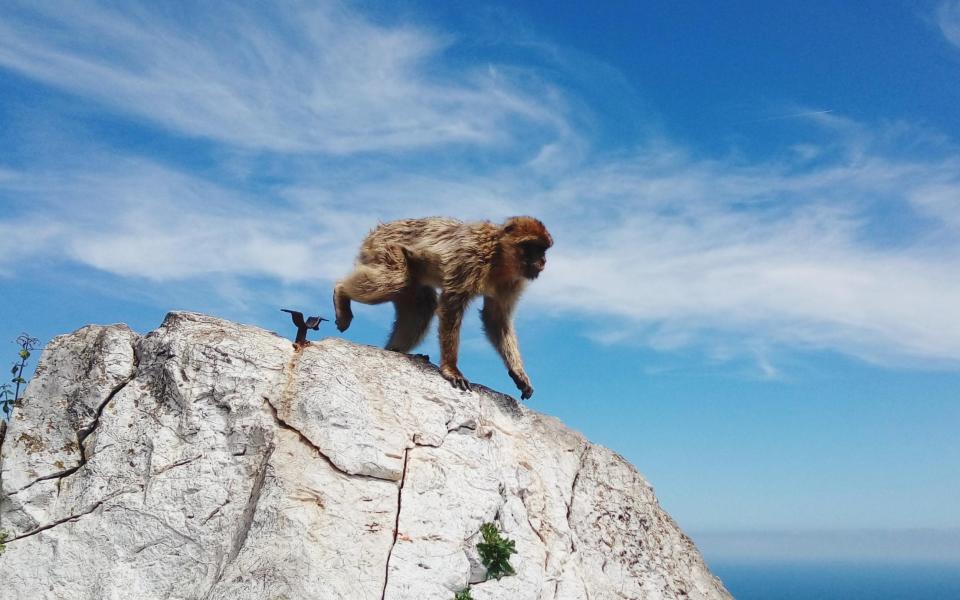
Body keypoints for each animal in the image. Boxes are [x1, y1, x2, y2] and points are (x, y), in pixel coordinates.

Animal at [334, 216, 552, 398]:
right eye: (531, 247)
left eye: (542, 249)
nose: (542, 261)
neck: (499, 257)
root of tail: (377, 230)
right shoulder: (471, 258)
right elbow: (451, 306)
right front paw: (451, 369)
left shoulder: (513, 281)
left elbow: (495, 318)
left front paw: (518, 372)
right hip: (384, 249)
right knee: (395, 279)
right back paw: (340, 291)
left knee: (422, 306)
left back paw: (395, 351)